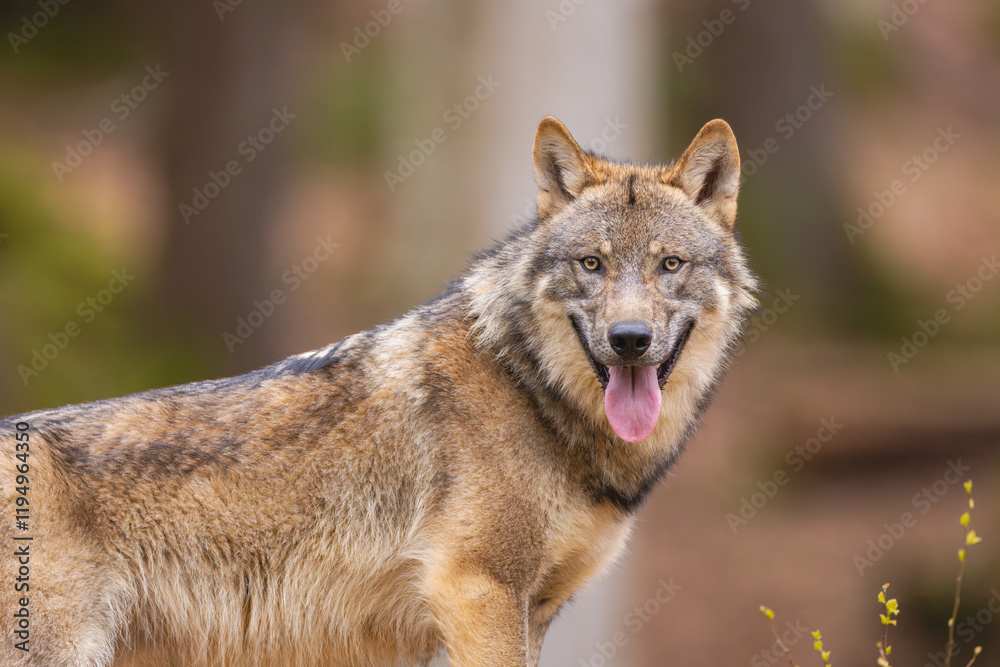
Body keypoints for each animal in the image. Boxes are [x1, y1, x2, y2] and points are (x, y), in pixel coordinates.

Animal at [0, 116, 756, 666]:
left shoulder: (532, 609)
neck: (531, 390)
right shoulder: (476, 592)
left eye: (669, 265)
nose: (629, 339)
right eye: (592, 264)